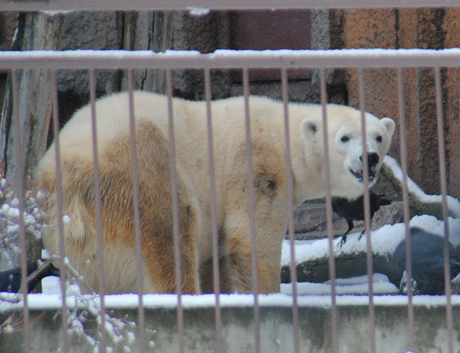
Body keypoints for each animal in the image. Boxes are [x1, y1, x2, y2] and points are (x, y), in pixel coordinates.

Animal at [36, 91, 396, 294]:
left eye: (378, 136)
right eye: (345, 137)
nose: (370, 158)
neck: (283, 135)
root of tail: (69, 175)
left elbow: (218, 256)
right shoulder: (255, 166)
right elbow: (252, 240)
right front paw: (269, 294)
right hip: (138, 169)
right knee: (170, 233)